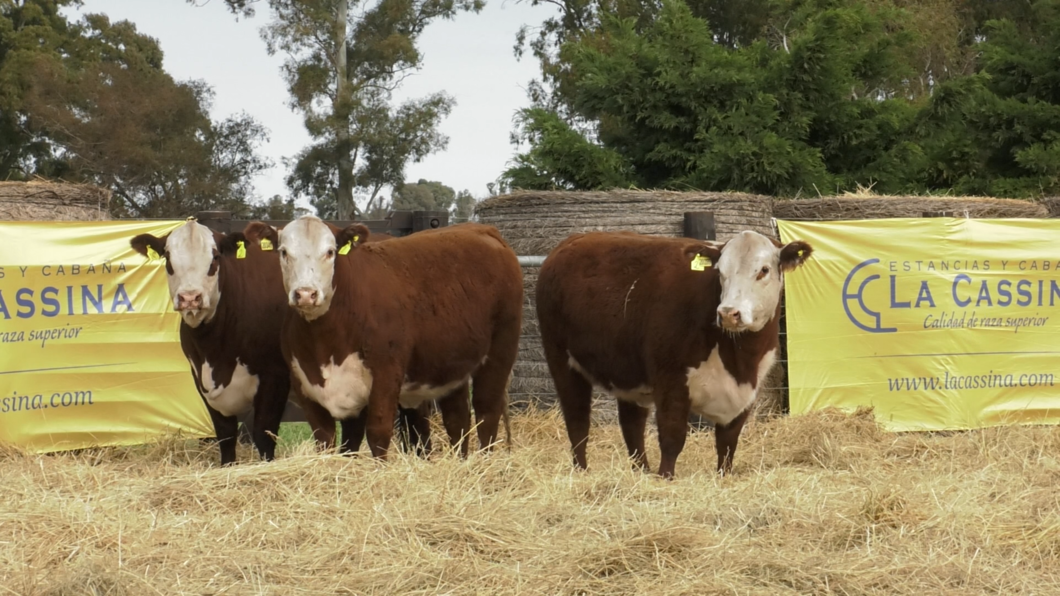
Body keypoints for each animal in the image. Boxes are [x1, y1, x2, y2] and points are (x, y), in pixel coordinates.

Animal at [275, 215, 519, 456]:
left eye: (330, 252)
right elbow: (328, 439)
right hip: (452, 365)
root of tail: (482, 229)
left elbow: (377, 433)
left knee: (487, 411)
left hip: (501, 350)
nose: (305, 294)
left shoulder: (386, 373)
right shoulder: (304, 383)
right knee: (457, 418)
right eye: (284, 252)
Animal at [538, 230, 809, 475]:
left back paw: (641, 472)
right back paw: (581, 471)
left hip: (628, 374)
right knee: (577, 420)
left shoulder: (747, 393)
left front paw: (723, 475)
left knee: (632, 425)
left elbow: (727, 444)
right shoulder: (671, 381)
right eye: (721, 272)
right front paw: (665, 477)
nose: (728, 313)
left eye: (763, 270)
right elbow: (672, 438)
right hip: (561, 361)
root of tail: (574, 240)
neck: (738, 359)